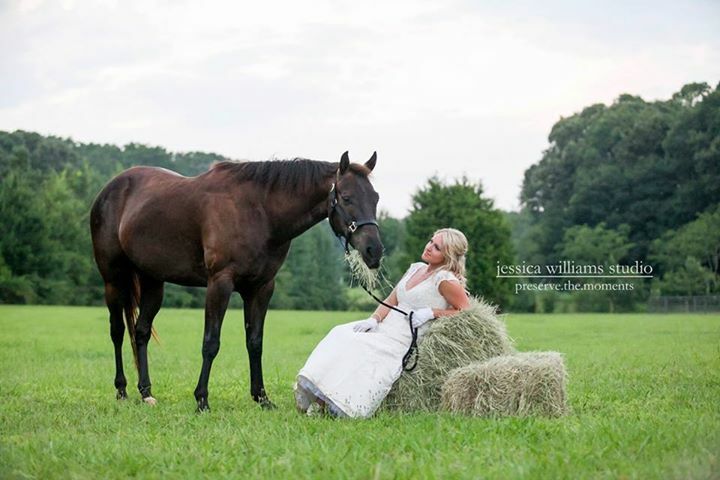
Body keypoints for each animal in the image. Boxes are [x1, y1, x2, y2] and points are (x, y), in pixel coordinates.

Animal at [90, 151, 383, 411]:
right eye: (347, 197)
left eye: (376, 197)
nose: (374, 251)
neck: (259, 211)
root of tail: (110, 188)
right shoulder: (220, 283)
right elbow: (211, 343)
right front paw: (202, 400)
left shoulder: (261, 288)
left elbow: (255, 342)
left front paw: (262, 398)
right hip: (113, 280)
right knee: (117, 331)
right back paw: (122, 390)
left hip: (153, 282)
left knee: (140, 332)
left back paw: (146, 393)